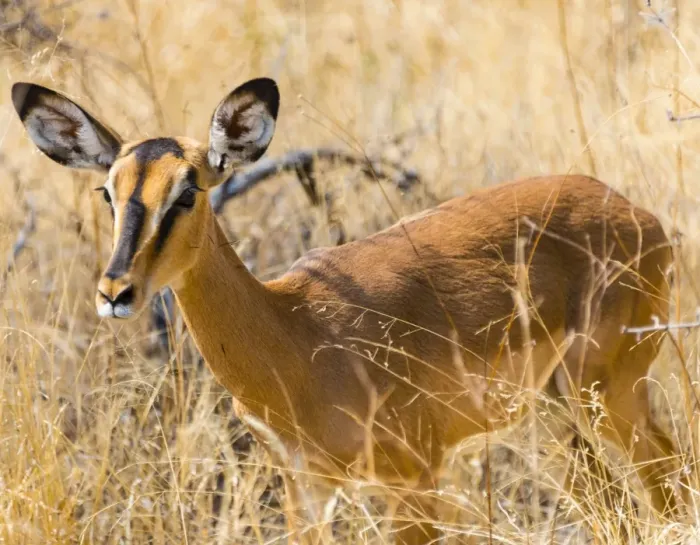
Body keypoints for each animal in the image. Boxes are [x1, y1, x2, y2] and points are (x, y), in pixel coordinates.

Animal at [12, 77, 678, 544]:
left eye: (189, 190)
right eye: (109, 191)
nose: (115, 292)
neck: (295, 335)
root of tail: (635, 211)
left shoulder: (414, 479)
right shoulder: (305, 487)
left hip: (611, 393)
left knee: (669, 475)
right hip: (557, 410)